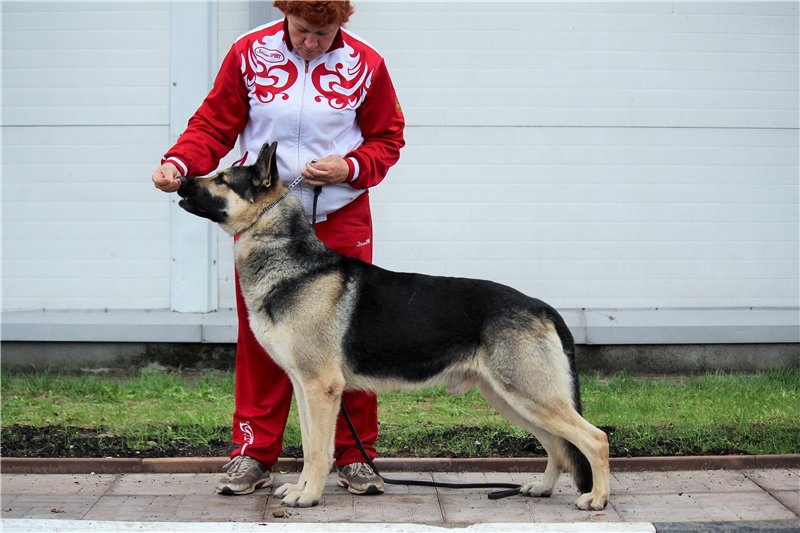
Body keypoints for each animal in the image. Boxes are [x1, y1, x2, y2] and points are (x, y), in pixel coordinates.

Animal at [178, 141, 608, 508]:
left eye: (221, 178)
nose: (179, 179)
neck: (295, 264)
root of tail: (542, 307)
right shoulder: (305, 389)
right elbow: (308, 443)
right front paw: (301, 488)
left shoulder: (321, 389)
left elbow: (318, 450)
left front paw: (309, 496)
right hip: (512, 399)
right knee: (557, 446)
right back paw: (542, 488)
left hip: (529, 397)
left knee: (594, 438)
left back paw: (597, 499)